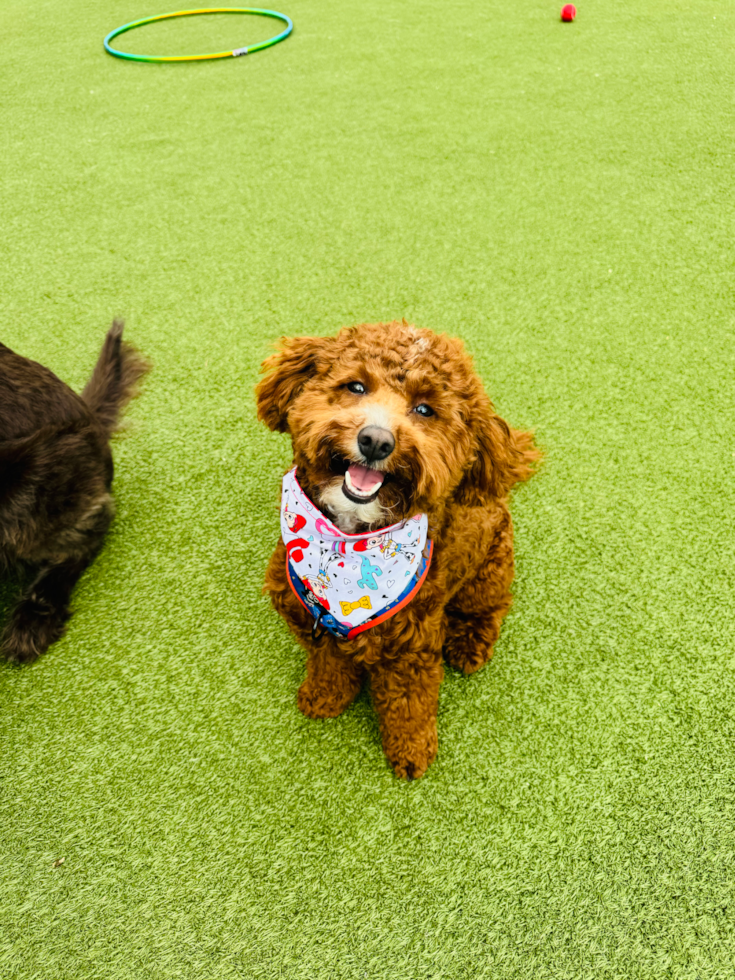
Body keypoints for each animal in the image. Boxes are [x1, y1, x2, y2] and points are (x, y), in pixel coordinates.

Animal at [258, 322, 540, 780]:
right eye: (355, 386)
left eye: (424, 410)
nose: (375, 440)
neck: (349, 549)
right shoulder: (314, 622)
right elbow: (329, 662)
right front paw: (325, 696)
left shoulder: (412, 649)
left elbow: (409, 705)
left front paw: (412, 753)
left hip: (488, 571)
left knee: (492, 607)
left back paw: (470, 643)